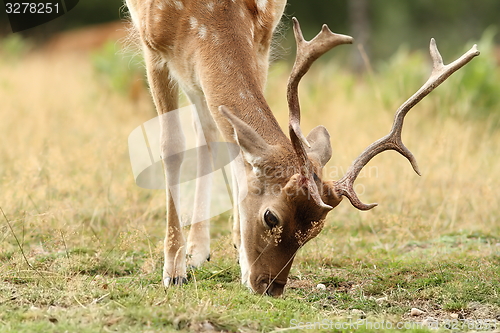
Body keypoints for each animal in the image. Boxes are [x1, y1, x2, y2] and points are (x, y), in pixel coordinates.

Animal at [125, 0, 476, 296]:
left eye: (314, 232)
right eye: (271, 217)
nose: (270, 288)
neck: (209, 14)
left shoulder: (262, 39)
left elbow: (239, 152)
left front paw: (237, 252)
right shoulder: (152, 45)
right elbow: (172, 146)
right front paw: (173, 271)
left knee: (209, 128)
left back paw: (203, 249)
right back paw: (190, 255)